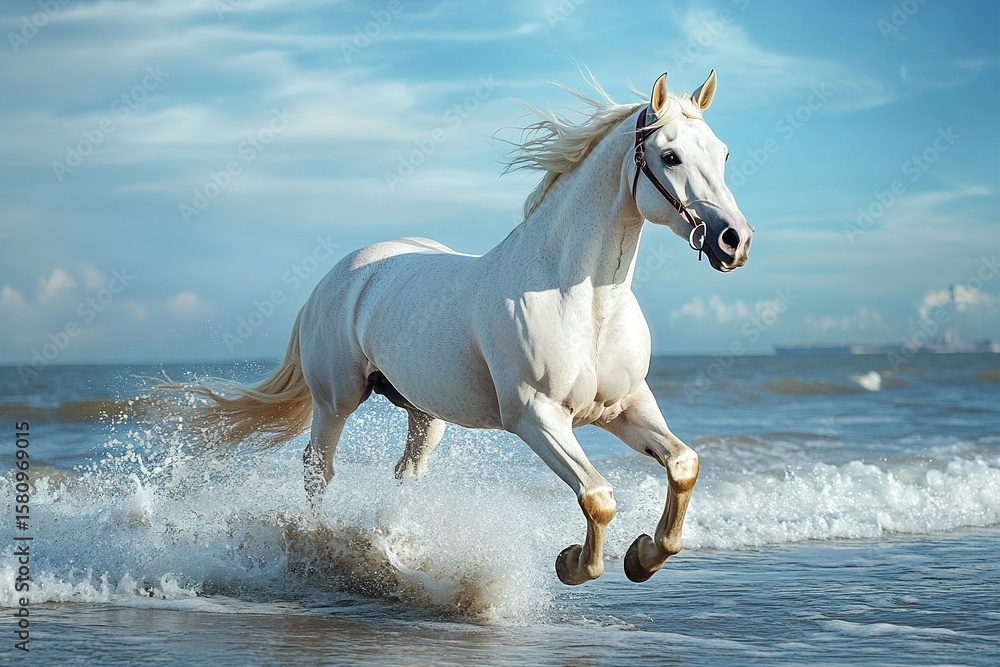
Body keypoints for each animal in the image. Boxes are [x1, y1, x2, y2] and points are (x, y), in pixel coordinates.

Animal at [166, 70, 753, 585]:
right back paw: (313, 548)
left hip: (426, 415)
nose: (734, 241)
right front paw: (571, 564)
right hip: (336, 401)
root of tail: (338, 276)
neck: (582, 303)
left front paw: (643, 557)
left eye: (723, 153)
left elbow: (682, 465)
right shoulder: (537, 418)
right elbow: (598, 497)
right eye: (669, 155)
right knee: (318, 469)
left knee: (406, 477)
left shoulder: (626, 405)